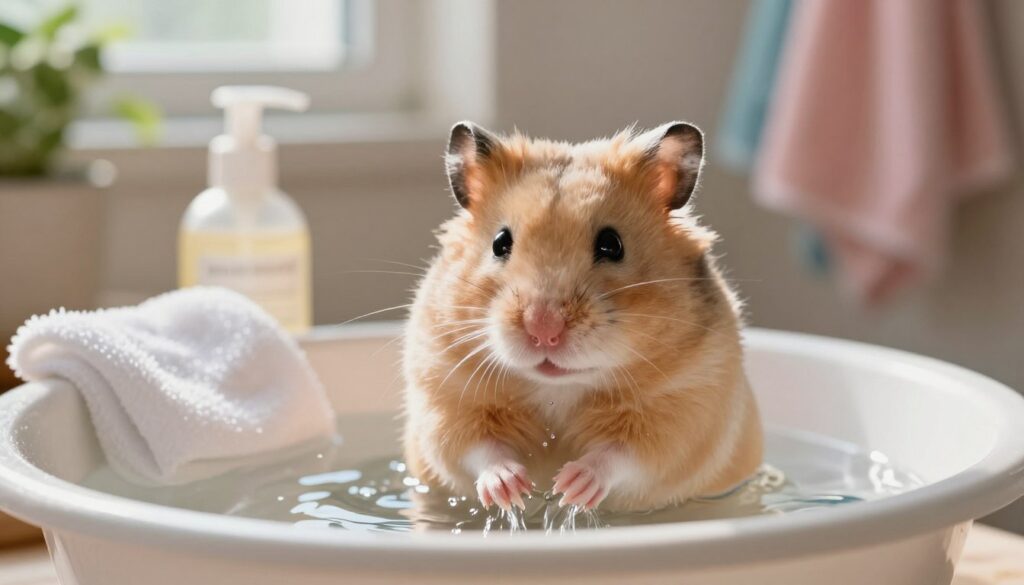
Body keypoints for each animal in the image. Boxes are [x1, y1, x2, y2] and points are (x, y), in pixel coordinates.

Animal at [402, 121, 762, 512]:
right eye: (500, 243)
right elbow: (478, 448)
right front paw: (512, 487)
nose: (543, 330)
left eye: (612, 244)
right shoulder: (446, 397)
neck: (558, 387)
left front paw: (569, 485)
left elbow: (624, 454)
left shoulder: (684, 408)